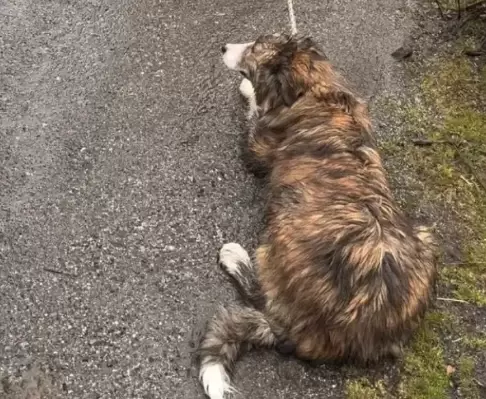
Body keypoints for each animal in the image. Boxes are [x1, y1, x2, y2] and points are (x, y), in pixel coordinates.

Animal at [197, 34, 436, 399]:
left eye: (255, 48)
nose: (224, 48)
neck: (318, 88)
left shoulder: (256, 148)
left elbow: (253, 115)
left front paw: (248, 89)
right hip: (425, 238)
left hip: (280, 227)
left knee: (259, 293)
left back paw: (234, 256)